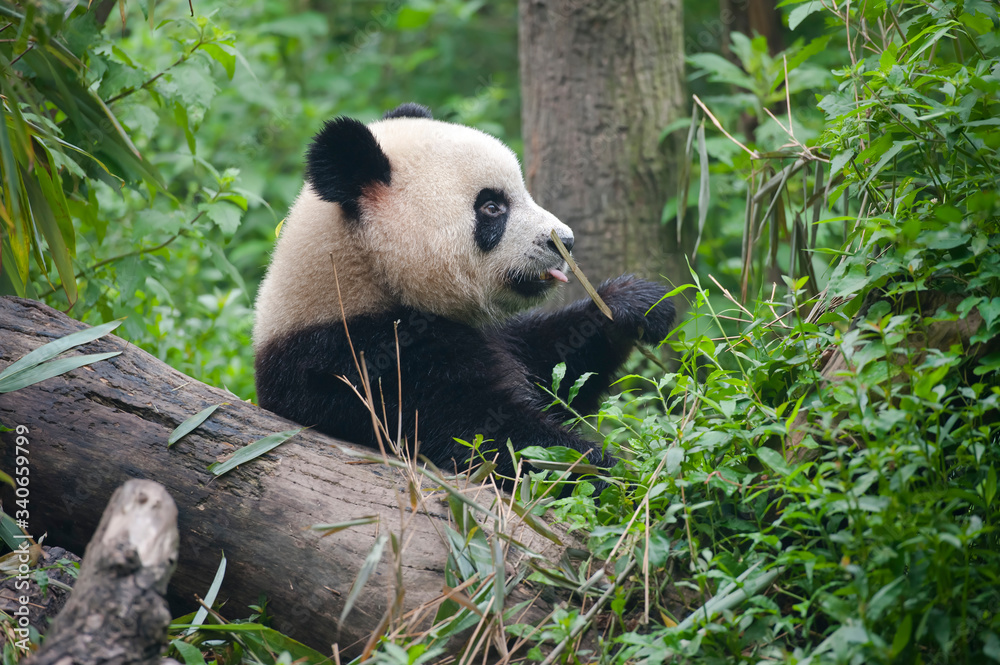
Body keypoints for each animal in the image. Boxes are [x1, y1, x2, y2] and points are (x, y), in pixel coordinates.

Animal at [253, 103, 674, 486]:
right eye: (492, 206)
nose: (566, 241)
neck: (364, 278)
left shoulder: (490, 334)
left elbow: (553, 365)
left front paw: (635, 304)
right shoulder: (362, 362)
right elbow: (488, 436)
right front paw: (623, 474)